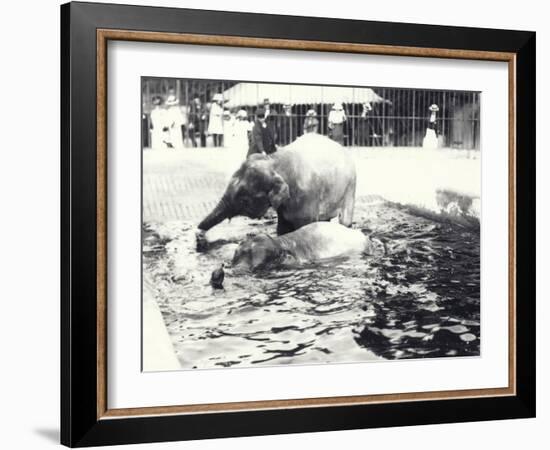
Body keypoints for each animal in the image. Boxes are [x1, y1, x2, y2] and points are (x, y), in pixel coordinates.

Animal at [198, 134, 358, 239]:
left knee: (344, 219)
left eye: (244, 200)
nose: (199, 234)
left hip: (351, 185)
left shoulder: (308, 195)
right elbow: (282, 229)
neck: (274, 161)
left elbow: (305, 226)